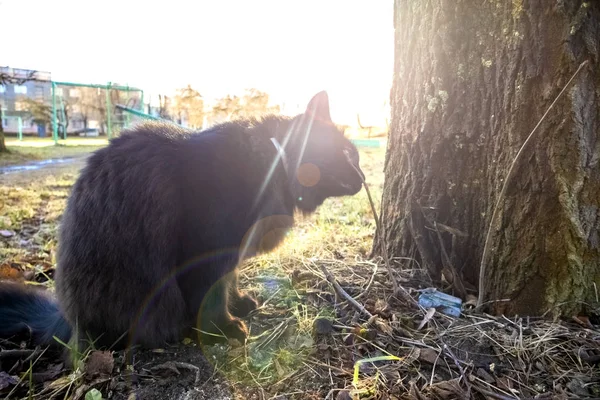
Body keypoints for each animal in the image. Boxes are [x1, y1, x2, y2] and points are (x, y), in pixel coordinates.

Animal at [0, 90, 364, 350]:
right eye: (347, 154)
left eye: (357, 156)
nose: (362, 176)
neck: (271, 163)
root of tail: (65, 320)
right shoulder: (206, 251)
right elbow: (211, 293)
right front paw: (223, 329)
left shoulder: (230, 254)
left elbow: (230, 281)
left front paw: (240, 304)